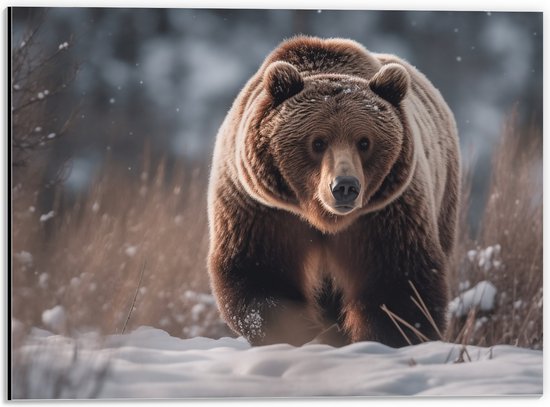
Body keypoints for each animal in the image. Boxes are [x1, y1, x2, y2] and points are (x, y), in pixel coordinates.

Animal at [207, 36, 462, 348]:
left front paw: (392, 336)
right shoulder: (262, 209)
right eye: (317, 142)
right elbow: (261, 271)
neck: (322, 216)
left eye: (364, 142)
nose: (345, 187)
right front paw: (296, 330)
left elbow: (398, 281)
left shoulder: (386, 213)